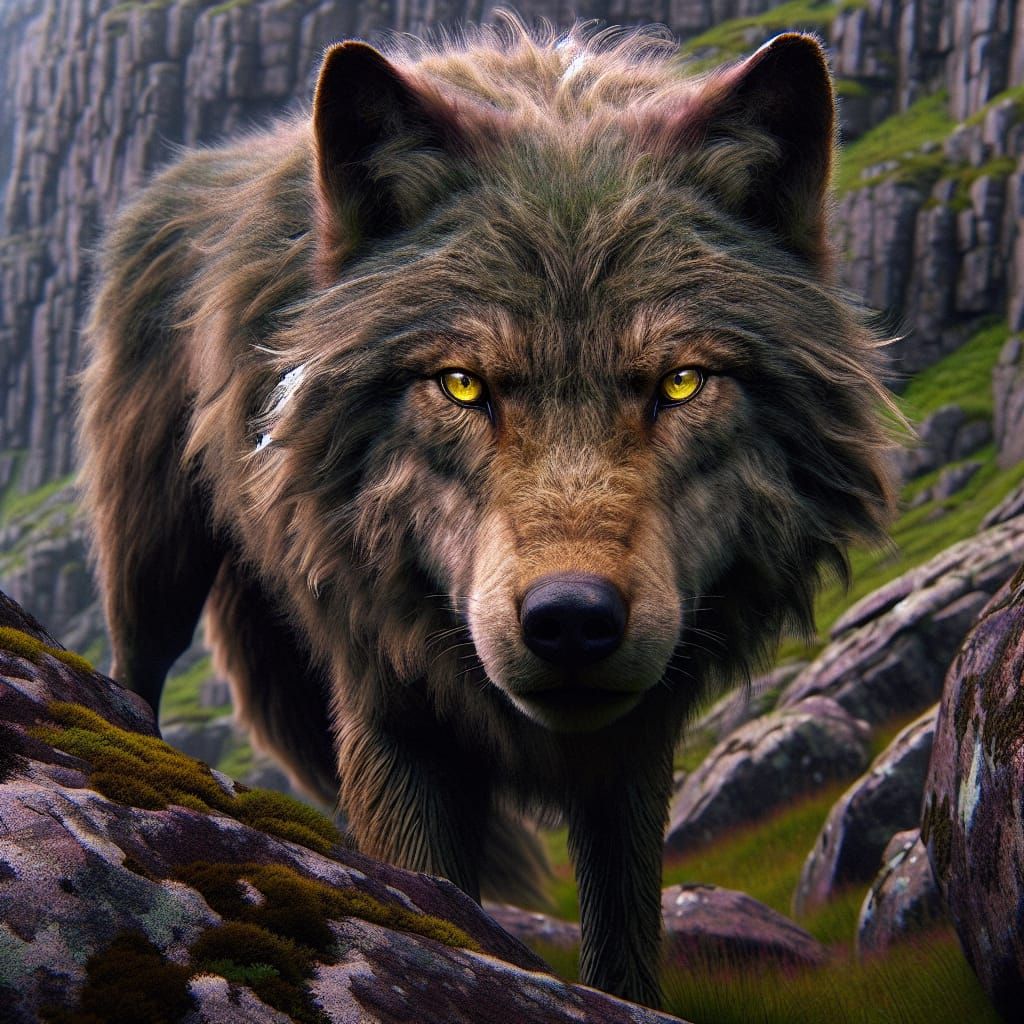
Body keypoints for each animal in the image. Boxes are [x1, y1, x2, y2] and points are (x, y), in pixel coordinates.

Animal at [79, 19, 895, 1007]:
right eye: (463, 385)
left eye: (680, 382)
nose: (572, 620)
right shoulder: (390, 705)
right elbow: (422, 890)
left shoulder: (636, 742)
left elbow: (624, 933)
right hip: (152, 560)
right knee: (136, 665)